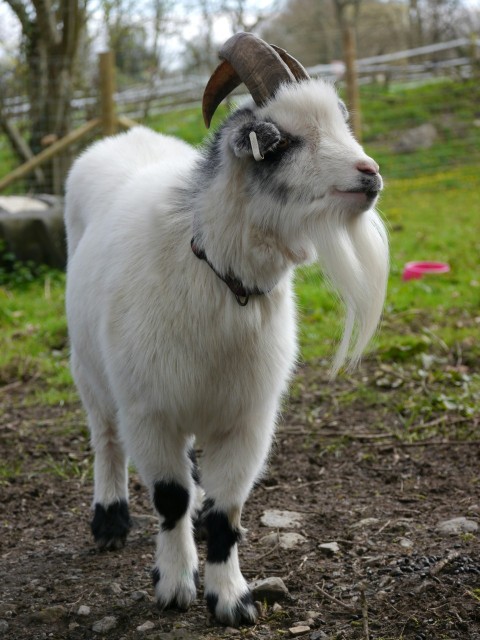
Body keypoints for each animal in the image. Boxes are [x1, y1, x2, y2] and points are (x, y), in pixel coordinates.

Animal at [65, 32, 390, 628]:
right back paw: (110, 521)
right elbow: (168, 498)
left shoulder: (248, 417)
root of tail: (127, 137)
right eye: (278, 141)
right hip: (89, 367)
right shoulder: (150, 410)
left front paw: (231, 597)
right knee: (106, 439)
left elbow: (226, 511)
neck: (212, 271)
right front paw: (174, 586)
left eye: (339, 120)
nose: (369, 174)